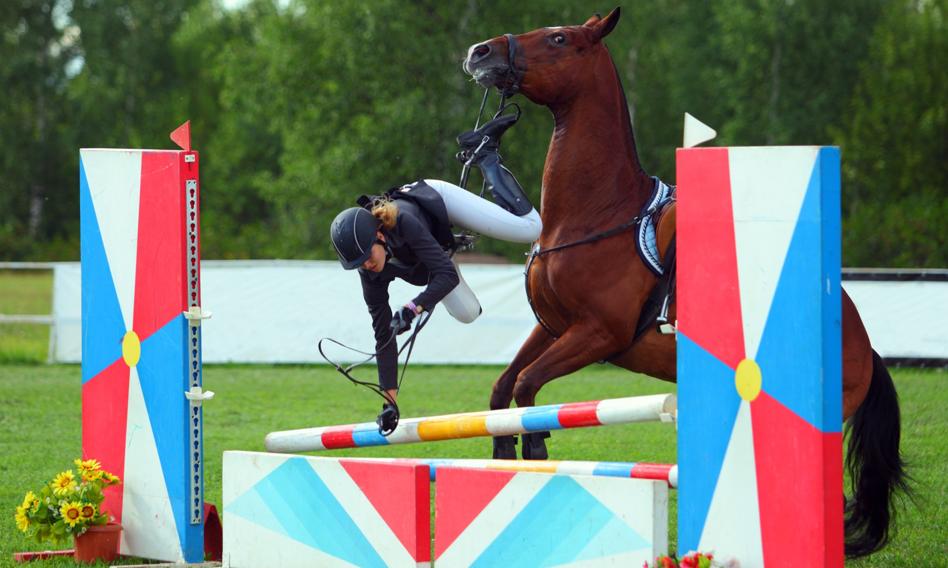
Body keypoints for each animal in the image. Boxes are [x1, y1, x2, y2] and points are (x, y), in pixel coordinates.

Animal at [462, 7, 908, 560]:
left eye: (559, 38)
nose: (479, 52)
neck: (595, 212)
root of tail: (866, 346)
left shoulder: (598, 334)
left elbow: (527, 387)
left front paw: (536, 448)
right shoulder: (553, 327)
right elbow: (504, 387)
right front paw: (505, 449)